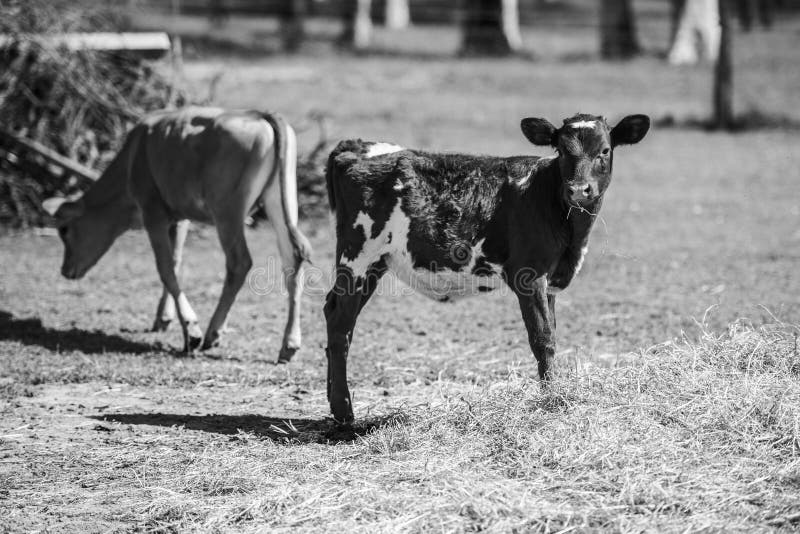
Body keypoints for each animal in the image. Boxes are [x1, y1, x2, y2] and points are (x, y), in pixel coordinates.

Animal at [44, 107, 312, 361]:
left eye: (64, 230)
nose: (65, 270)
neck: (134, 155)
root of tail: (259, 114)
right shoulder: (180, 217)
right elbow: (175, 261)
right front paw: (163, 319)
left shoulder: (153, 212)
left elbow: (164, 267)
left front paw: (190, 330)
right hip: (281, 200)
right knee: (291, 258)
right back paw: (289, 345)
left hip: (227, 212)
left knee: (239, 262)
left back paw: (212, 333)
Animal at [323, 113, 650, 423]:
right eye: (561, 150)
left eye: (604, 150)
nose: (579, 190)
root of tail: (356, 146)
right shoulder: (529, 276)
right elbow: (543, 339)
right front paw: (551, 399)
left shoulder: (551, 282)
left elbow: (553, 332)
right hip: (358, 255)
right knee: (340, 323)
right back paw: (344, 411)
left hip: (374, 264)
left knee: (333, 311)